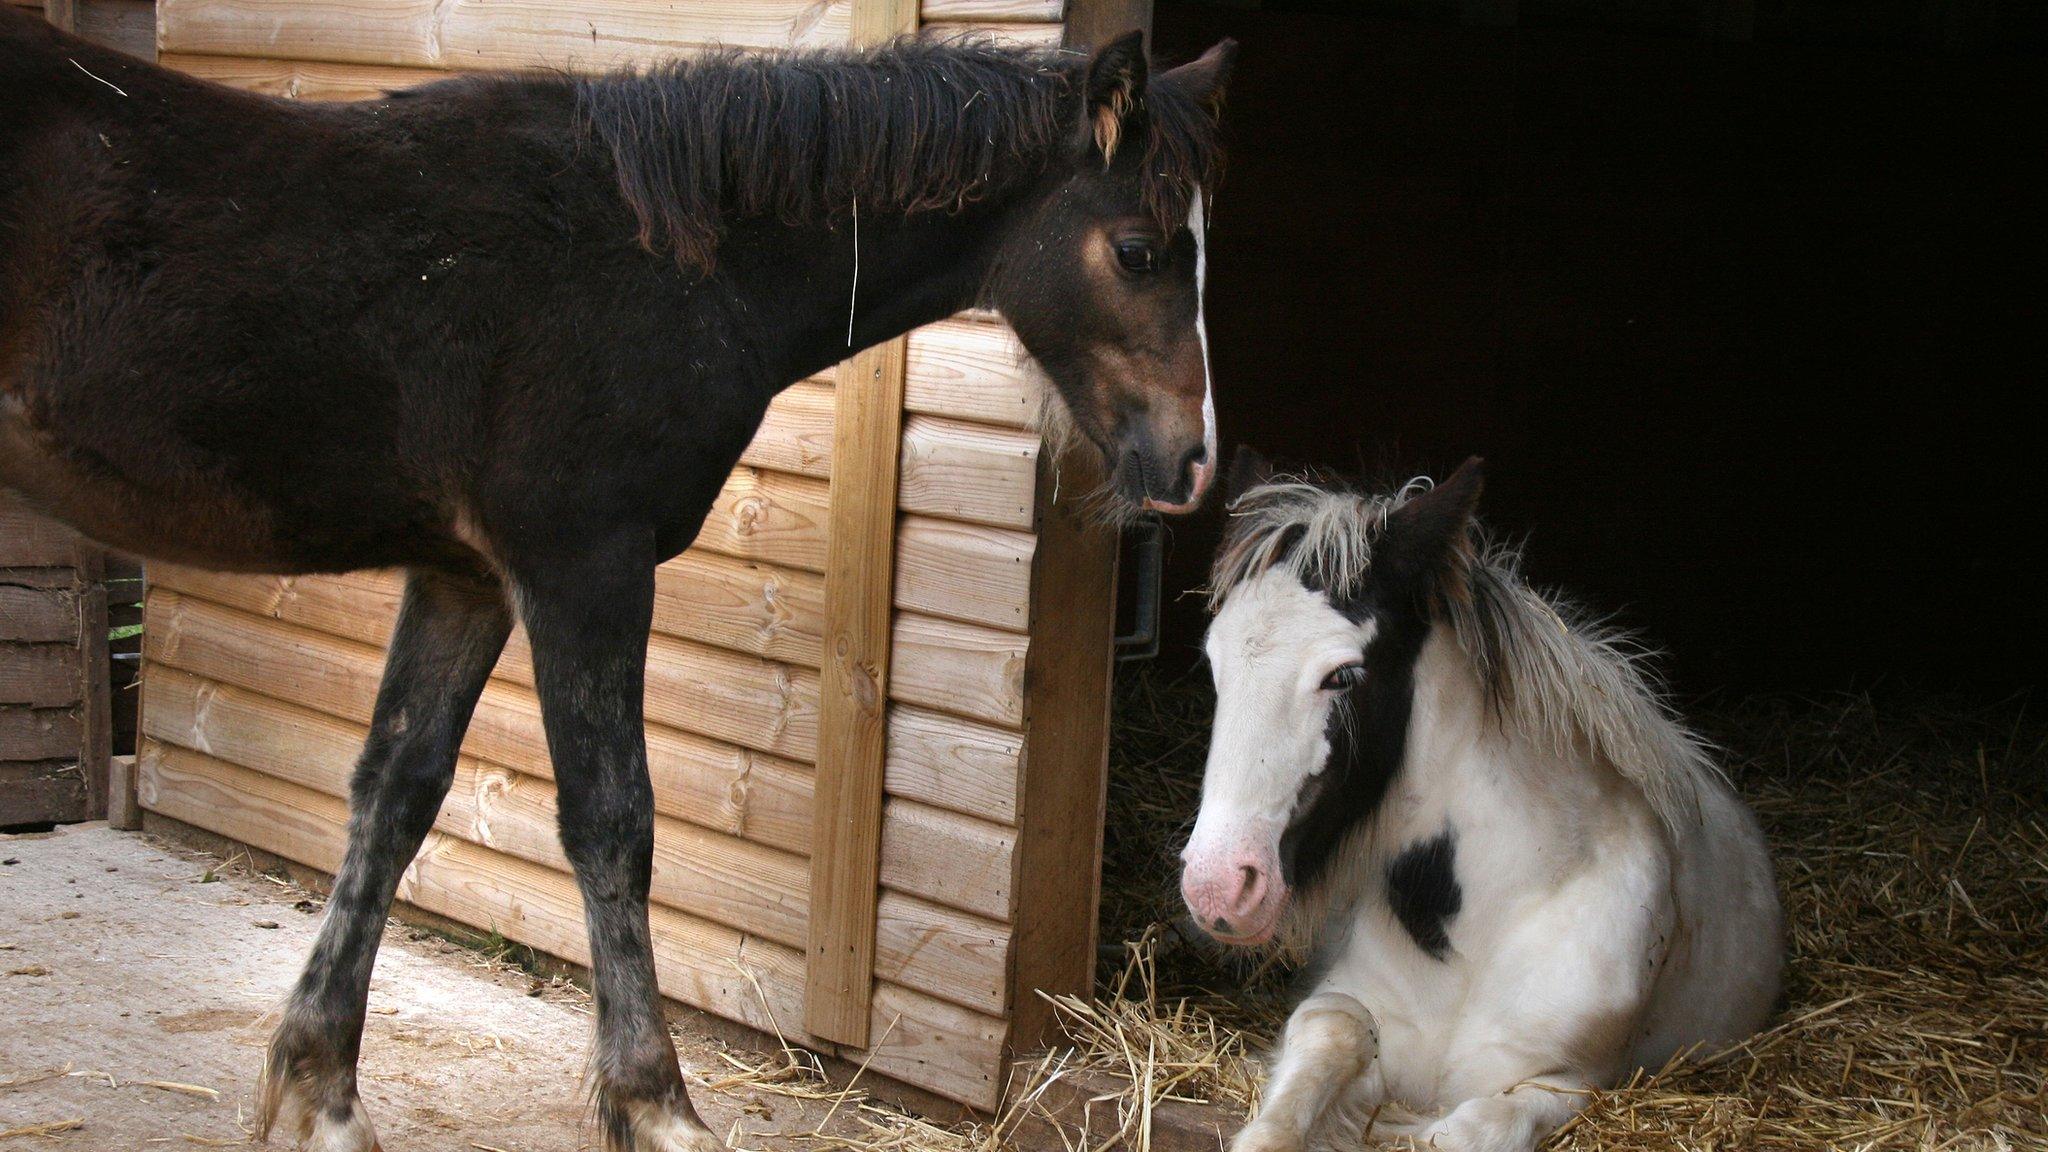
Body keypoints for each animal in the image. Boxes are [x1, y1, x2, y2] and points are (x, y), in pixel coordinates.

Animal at [1187, 457, 1777, 1147]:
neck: (1472, 928)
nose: (1218, 888)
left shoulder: (1563, 1082)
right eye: (1214, 664)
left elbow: (1461, 1130)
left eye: (1343, 675)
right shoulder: (1348, 1009)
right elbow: (1317, 1059)